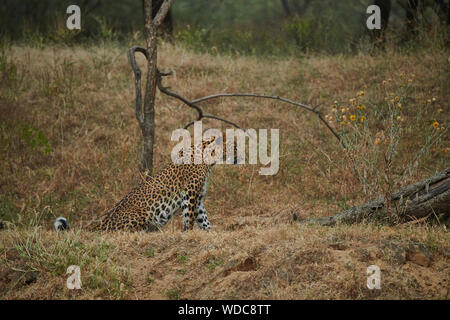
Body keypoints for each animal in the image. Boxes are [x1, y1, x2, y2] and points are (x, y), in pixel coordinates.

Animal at [55, 133, 239, 232]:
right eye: (235, 147)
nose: (241, 155)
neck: (209, 158)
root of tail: (103, 223)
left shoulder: (198, 197)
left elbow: (203, 218)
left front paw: (209, 232)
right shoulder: (190, 194)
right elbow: (190, 217)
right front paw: (188, 232)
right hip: (143, 214)